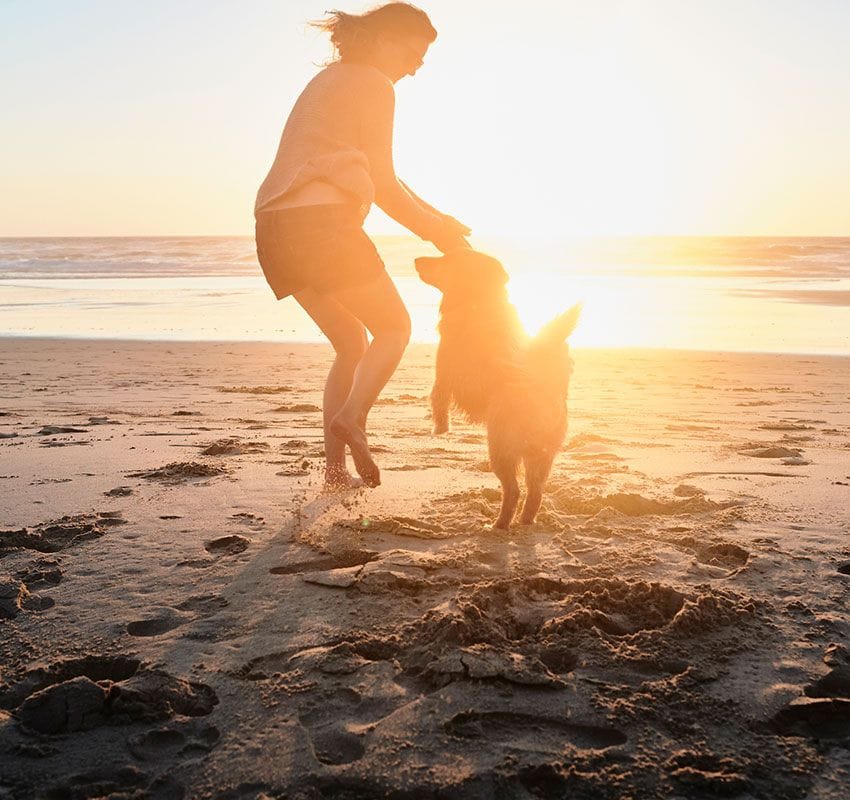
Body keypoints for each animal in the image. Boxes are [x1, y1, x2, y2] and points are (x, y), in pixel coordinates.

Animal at [414, 250, 580, 532]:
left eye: (446, 259)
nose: (416, 260)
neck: (478, 299)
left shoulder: (444, 371)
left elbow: (438, 399)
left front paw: (440, 428)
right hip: (541, 457)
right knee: (535, 492)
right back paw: (525, 521)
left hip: (500, 449)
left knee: (513, 490)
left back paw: (498, 525)